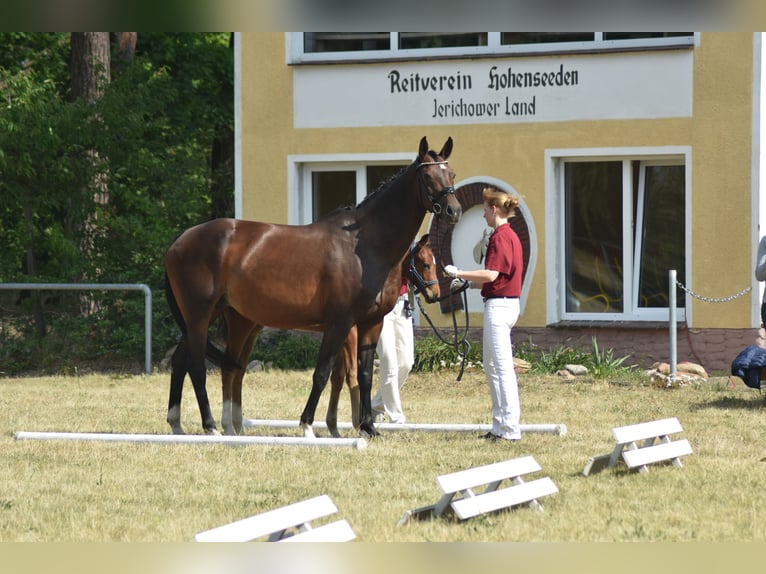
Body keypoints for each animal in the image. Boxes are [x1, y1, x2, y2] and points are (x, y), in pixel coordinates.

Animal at [324, 233, 439, 438]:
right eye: (426, 264)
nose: (435, 294)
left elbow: (337, 377)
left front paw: (334, 427)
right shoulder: (350, 334)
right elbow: (352, 375)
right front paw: (359, 423)